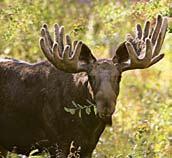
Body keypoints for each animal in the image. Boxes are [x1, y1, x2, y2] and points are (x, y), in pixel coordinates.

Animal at [0, 15, 167, 158]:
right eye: (90, 77)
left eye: (119, 76)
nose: (106, 106)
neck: (88, 125)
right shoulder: (57, 142)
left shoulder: (88, 147)